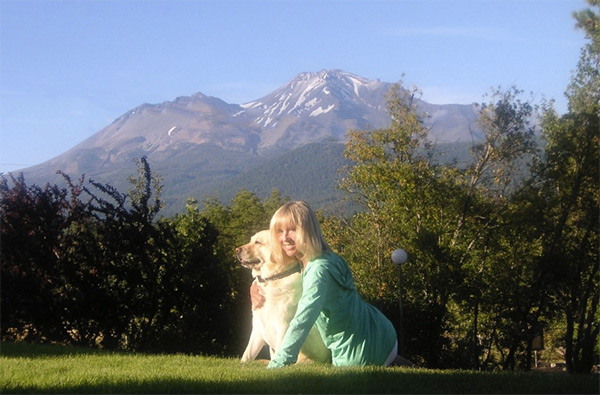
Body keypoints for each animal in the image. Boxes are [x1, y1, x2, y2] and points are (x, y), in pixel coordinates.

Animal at [236, 232, 330, 366]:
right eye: (251, 240)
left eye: (258, 242)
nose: (237, 250)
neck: (273, 278)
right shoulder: (258, 328)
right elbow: (247, 354)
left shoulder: (283, 325)